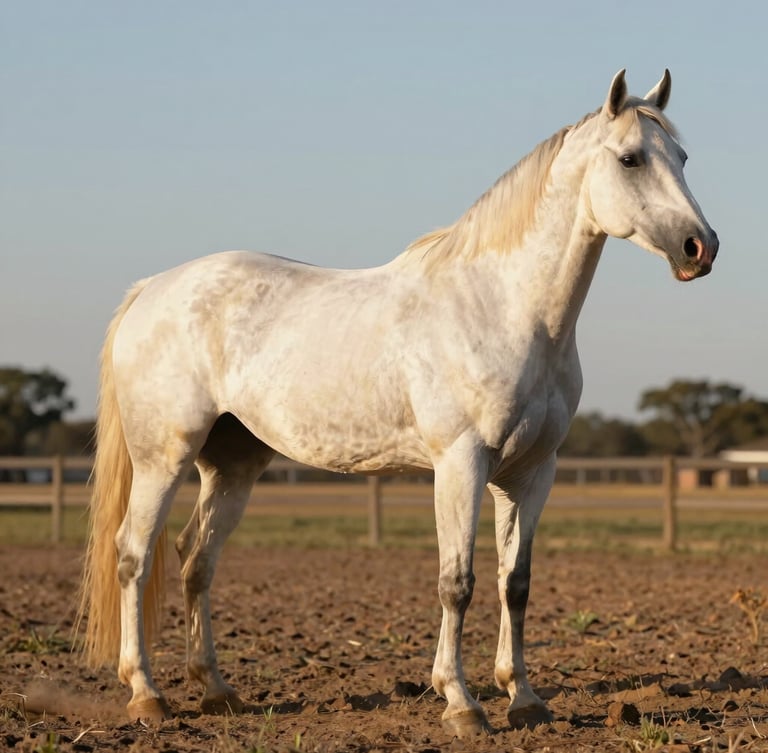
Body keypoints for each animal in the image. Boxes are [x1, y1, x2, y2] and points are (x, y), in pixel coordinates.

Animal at [77, 69, 718, 736]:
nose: (701, 247)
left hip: (232, 465)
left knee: (195, 558)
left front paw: (524, 698)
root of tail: (152, 289)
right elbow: (456, 582)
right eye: (630, 158)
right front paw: (461, 702)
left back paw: (217, 689)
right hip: (163, 459)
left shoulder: (531, 474)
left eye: (682, 157)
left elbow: (515, 583)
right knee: (134, 555)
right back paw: (146, 693)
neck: (505, 307)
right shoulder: (461, 464)